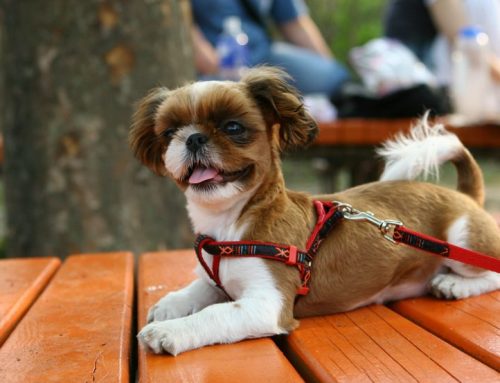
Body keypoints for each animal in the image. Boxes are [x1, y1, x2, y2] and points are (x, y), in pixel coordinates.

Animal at [130, 65, 500, 354]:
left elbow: (214, 314)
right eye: (169, 132)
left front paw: (170, 332)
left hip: (463, 241)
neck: (232, 226)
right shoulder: (215, 279)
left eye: (233, 127)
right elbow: (198, 287)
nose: (192, 138)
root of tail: (466, 194)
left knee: (490, 274)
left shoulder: (266, 305)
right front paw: (171, 305)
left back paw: (455, 285)